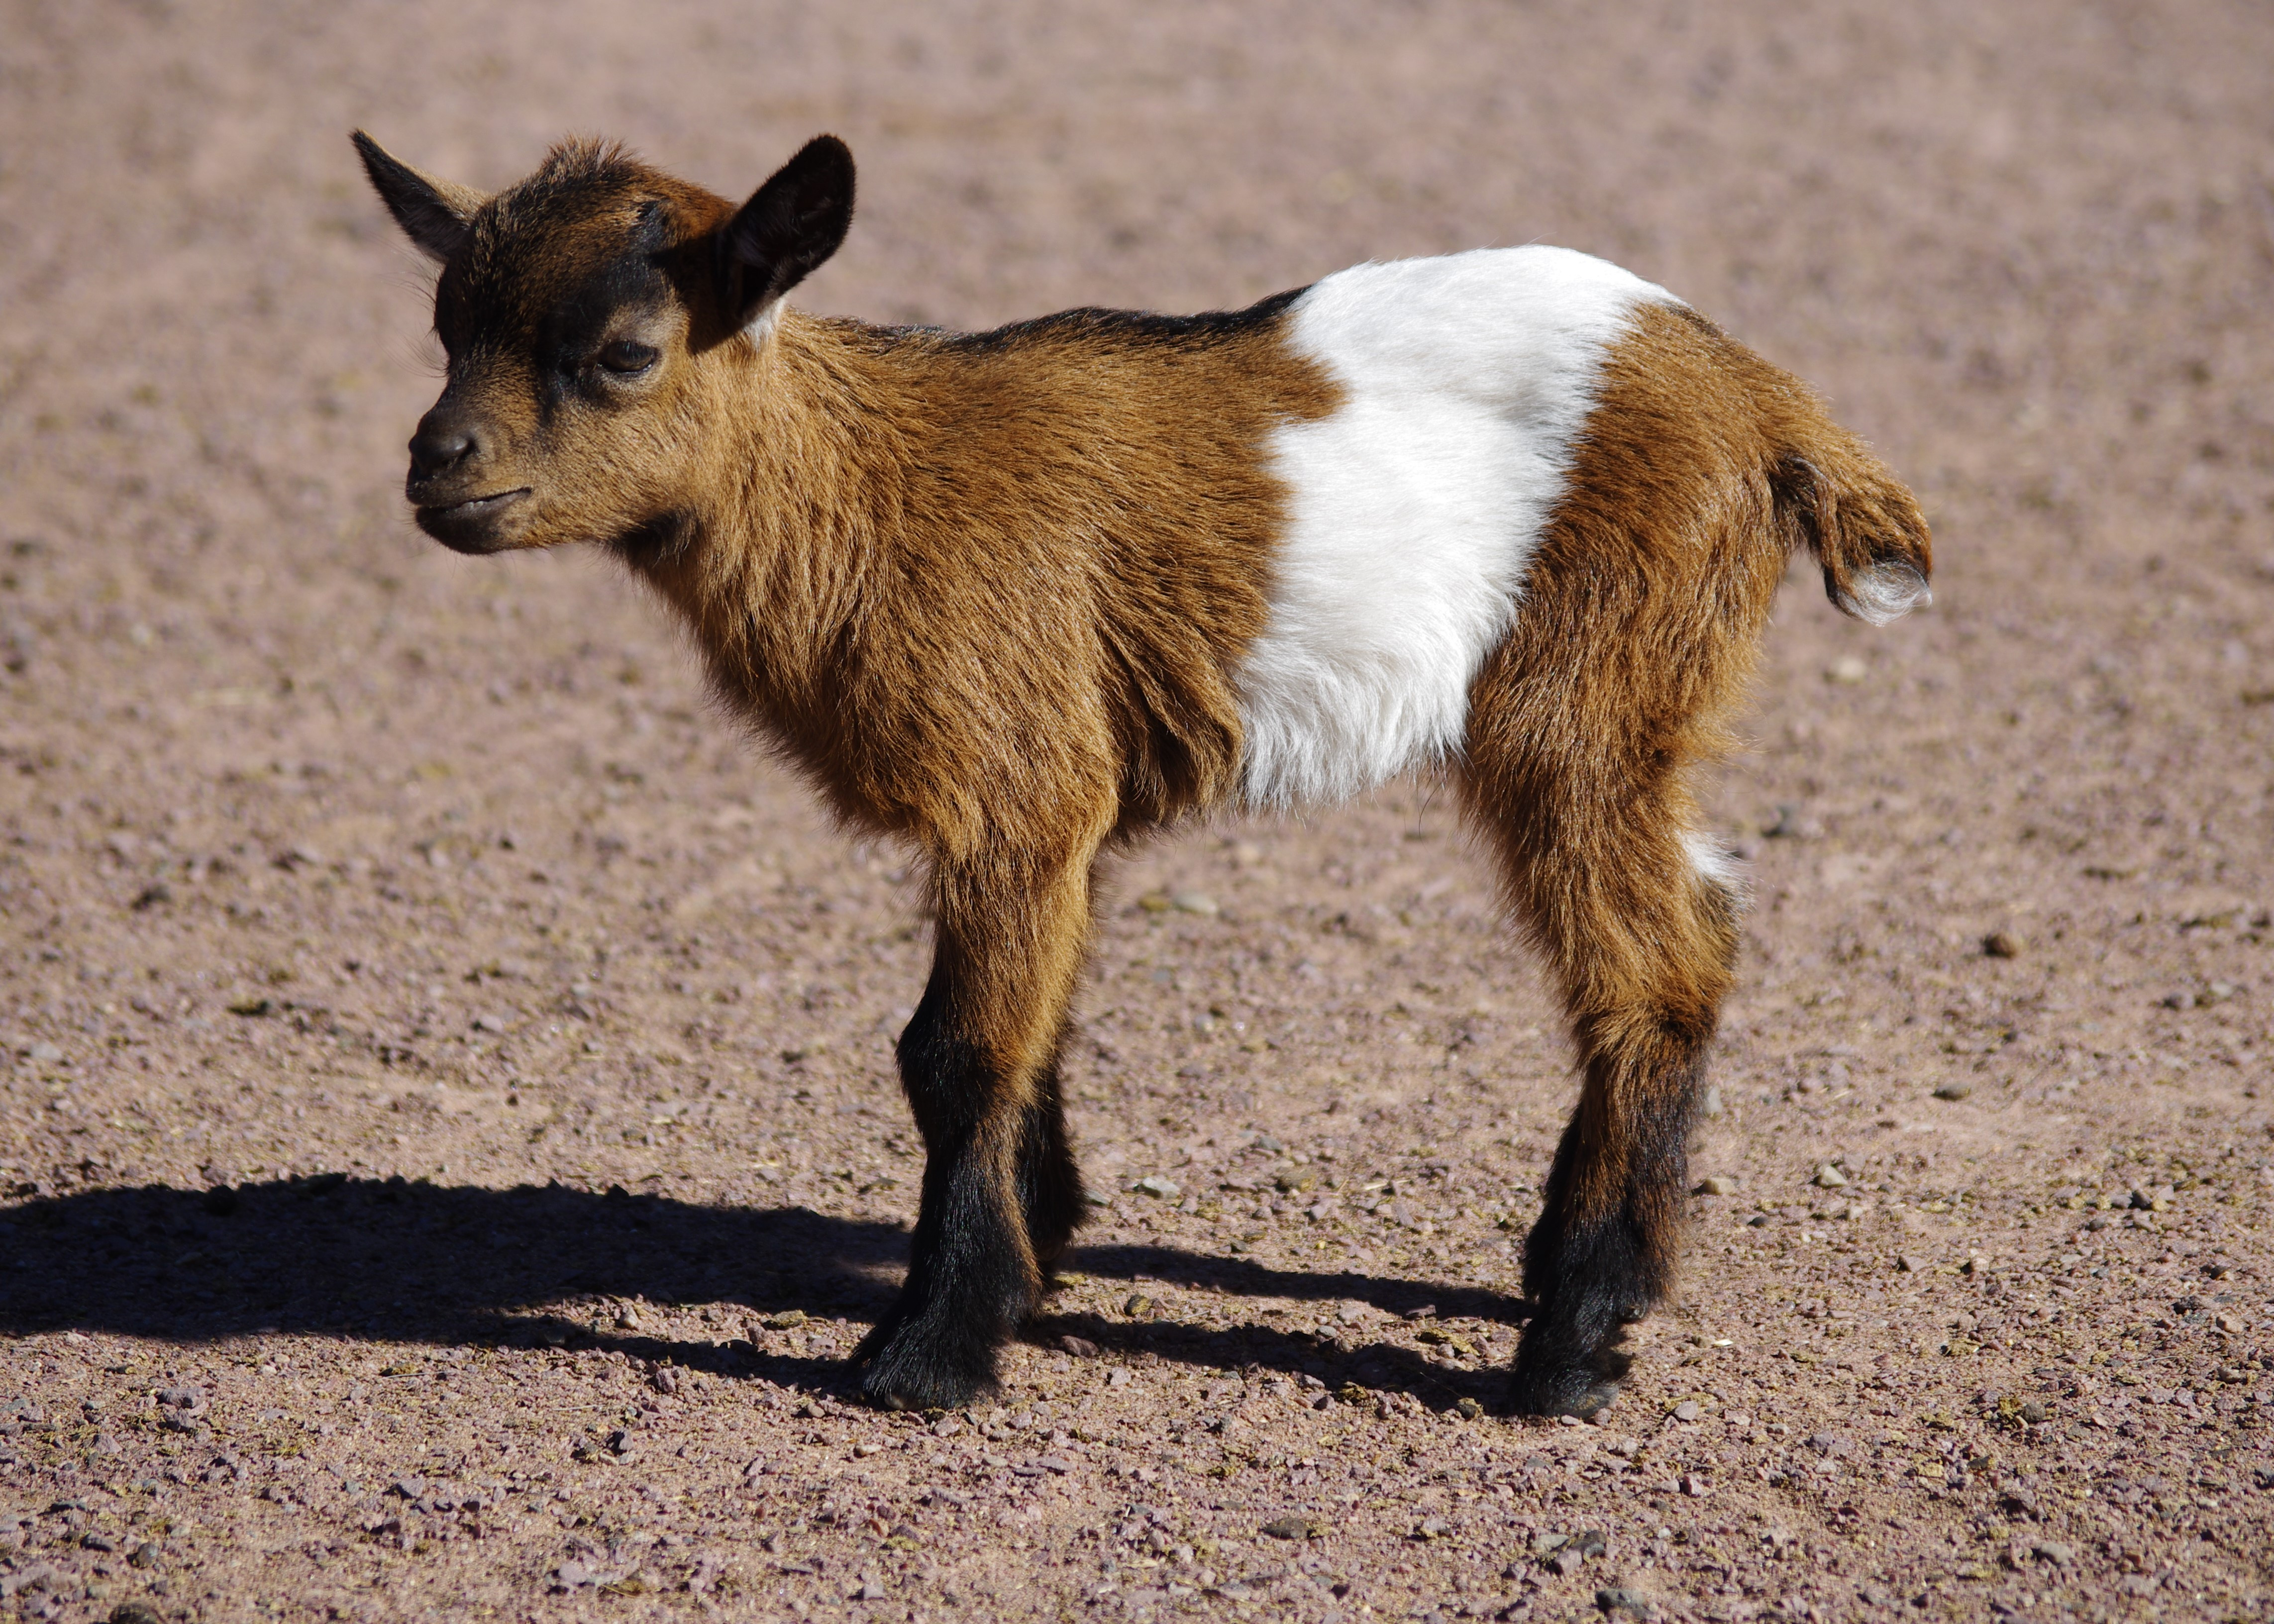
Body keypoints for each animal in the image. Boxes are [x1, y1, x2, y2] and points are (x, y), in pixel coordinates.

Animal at [359, 133, 1937, 1410]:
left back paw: (1567, 1351)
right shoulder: (1053, 810)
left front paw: (930, 1351)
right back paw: (1583, 1277)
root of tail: (1766, 403)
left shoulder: (1015, 778)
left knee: (1648, 966)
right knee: (1702, 926)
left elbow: (953, 1051)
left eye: (625, 353)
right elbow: (1033, 1021)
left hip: (1585, 687)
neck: (868, 493)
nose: (436, 467)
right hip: (1642, 707)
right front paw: (1037, 1255)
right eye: (441, 327)